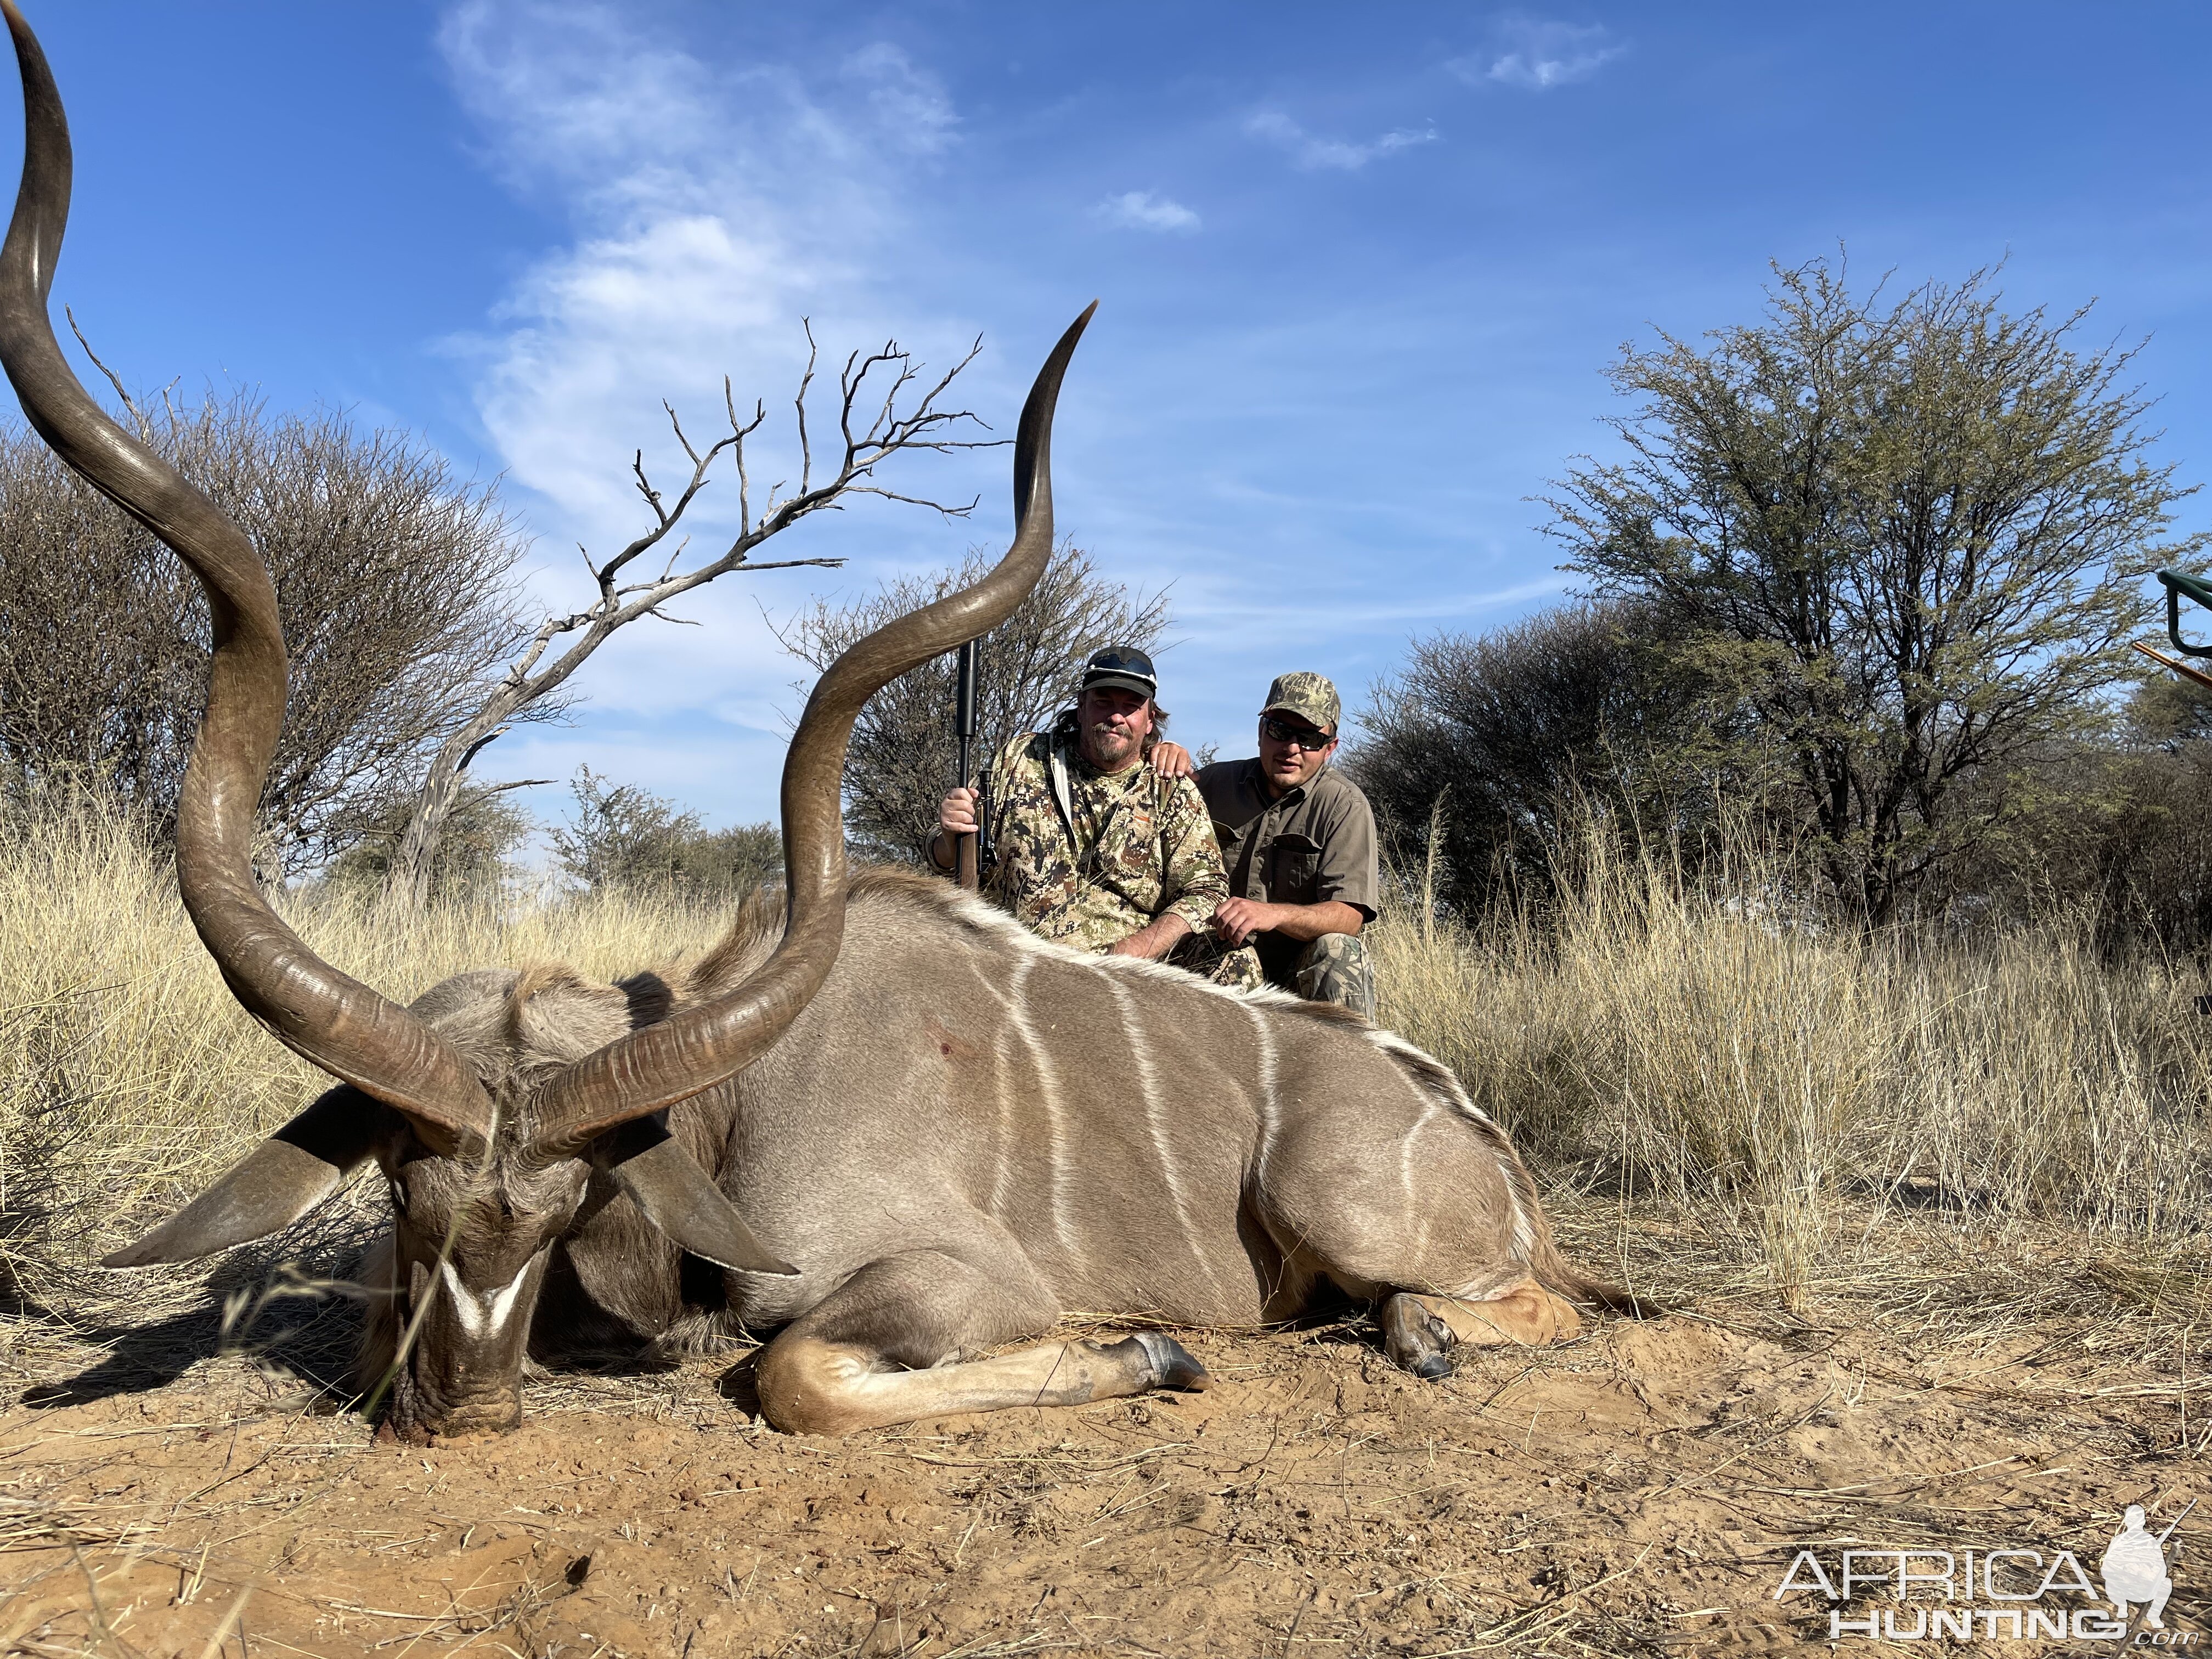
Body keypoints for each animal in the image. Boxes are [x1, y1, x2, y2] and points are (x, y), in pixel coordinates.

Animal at [0, 6, 1628, 1442]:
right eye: (405, 1192)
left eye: (571, 1202)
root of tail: (1479, 1138)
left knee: (1533, 1304)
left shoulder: (955, 1280)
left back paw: (1412, 1329)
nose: (459, 1411)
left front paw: (1153, 1350)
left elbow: (793, 1372)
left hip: (1333, 1200)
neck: (737, 1103)